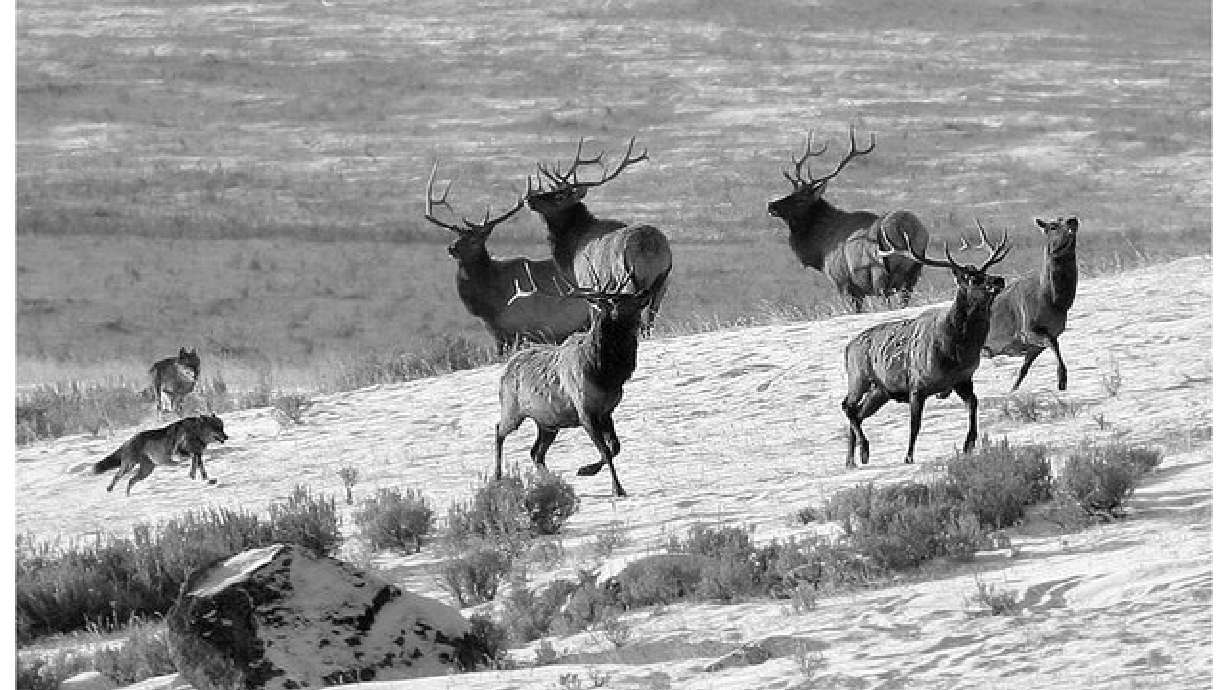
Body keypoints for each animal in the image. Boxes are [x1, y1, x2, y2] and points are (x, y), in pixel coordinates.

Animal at [93, 414, 228, 495]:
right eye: (217, 428)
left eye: (222, 427)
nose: (226, 437)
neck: (195, 432)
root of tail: (128, 441)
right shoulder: (179, 453)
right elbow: (193, 460)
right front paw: (192, 475)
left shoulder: (198, 454)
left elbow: (200, 468)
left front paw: (205, 480)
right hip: (129, 466)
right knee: (117, 476)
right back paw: (110, 489)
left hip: (146, 471)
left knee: (131, 480)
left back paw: (128, 495)